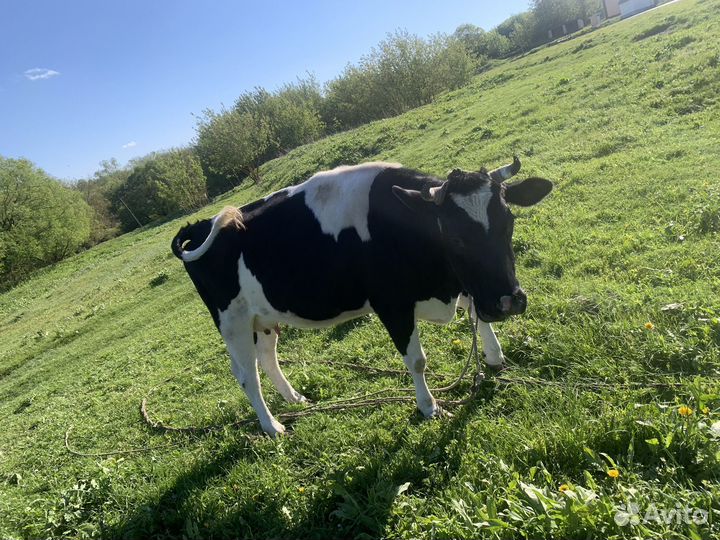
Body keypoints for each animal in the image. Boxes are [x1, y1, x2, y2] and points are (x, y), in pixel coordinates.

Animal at [171, 157, 552, 436]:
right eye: (455, 238)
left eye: (508, 222)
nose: (509, 302)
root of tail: (200, 224)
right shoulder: (392, 305)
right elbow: (417, 360)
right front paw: (429, 406)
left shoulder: (464, 284)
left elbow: (475, 312)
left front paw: (494, 357)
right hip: (232, 321)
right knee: (247, 374)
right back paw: (272, 426)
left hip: (263, 316)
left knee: (267, 357)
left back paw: (295, 398)